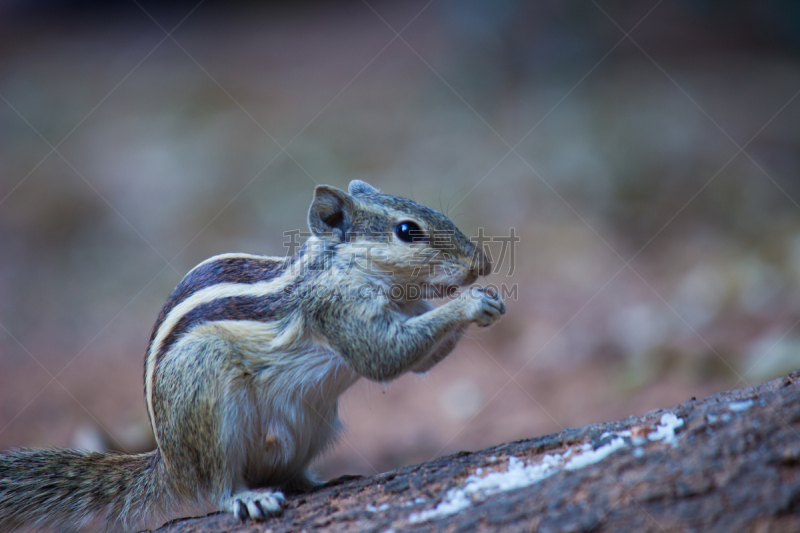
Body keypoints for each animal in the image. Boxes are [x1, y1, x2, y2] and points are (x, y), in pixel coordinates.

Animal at [0, 181, 506, 528]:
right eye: (407, 231)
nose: (481, 264)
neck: (342, 268)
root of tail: (170, 465)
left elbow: (418, 361)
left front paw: (490, 301)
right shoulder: (336, 308)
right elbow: (383, 358)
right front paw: (470, 302)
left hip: (318, 423)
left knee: (289, 476)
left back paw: (323, 481)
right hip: (209, 402)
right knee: (216, 484)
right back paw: (246, 497)